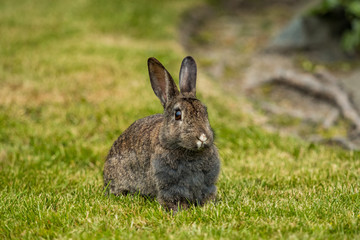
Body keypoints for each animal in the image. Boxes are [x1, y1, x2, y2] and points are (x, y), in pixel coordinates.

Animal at [102, 56, 221, 212]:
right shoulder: (169, 186)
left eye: (205, 111)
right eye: (178, 114)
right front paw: (179, 210)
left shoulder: (207, 185)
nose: (202, 137)